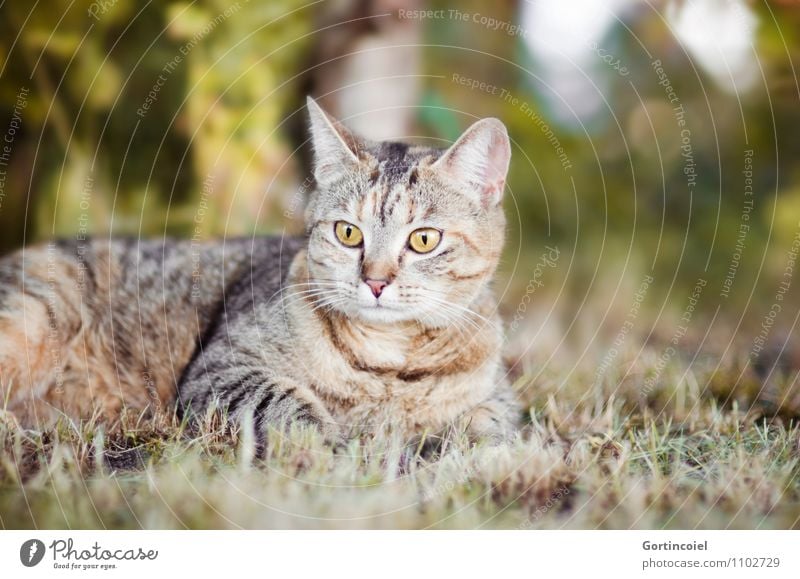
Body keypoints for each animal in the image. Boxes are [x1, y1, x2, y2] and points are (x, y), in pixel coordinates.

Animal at [0, 98, 520, 444]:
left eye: (424, 240)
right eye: (348, 233)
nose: (375, 280)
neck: (386, 364)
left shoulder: (500, 399)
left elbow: (493, 425)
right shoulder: (221, 370)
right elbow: (291, 404)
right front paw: (337, 447)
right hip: (31, 317)